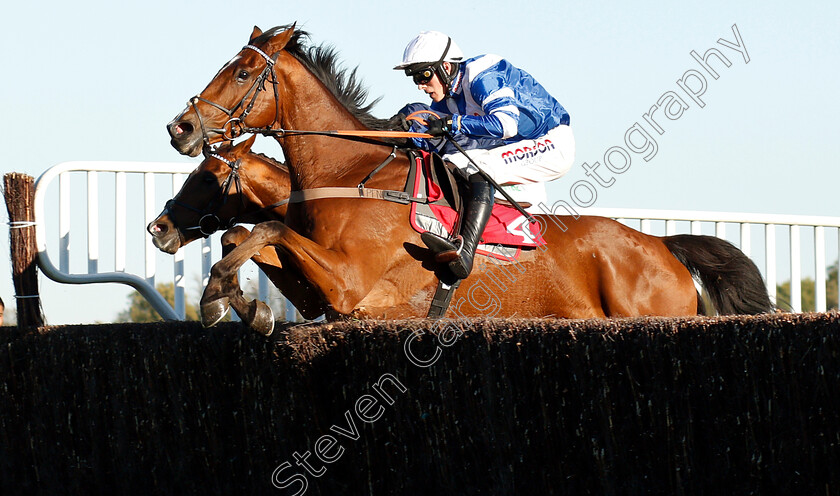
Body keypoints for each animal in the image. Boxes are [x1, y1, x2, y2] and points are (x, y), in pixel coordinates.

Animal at [166, 25, 776, 332]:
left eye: (242, 72)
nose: (181, 127)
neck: (350, 173)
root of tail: (663, 245)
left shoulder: (351, 285)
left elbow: (264, 230)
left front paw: (218, 298)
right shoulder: (325, 297)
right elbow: (244, 236)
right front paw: (243, 304)